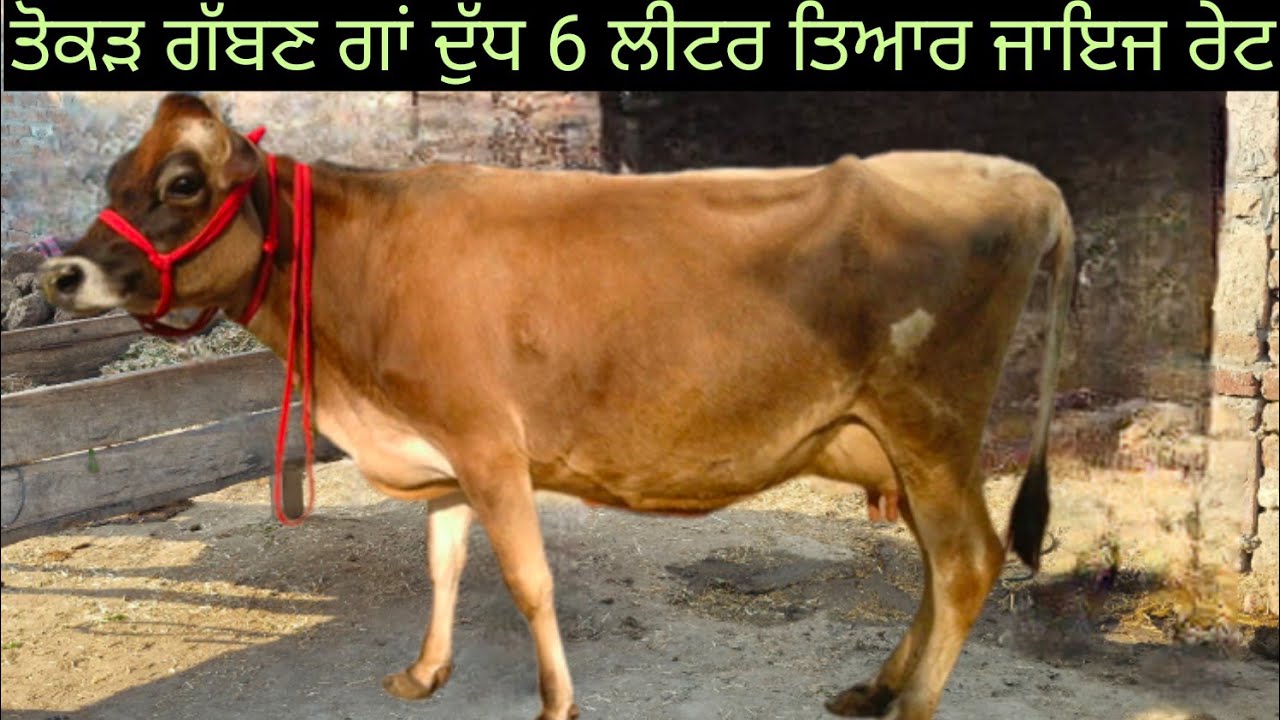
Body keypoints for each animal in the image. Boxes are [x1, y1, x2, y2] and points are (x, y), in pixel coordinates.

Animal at [39, 93, 1075, 720]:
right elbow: (445, 566)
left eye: (182, 182)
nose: (58, 273)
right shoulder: (444, 449)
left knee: (967, 563)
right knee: (938, 568)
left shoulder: (491, 445)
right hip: (905, 442)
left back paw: (911, 704)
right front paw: (427, 671)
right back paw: (875, 688)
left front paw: (556, 699)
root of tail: (1026, 179)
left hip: (934, 424)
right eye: (112, 180)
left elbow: (528, 580)